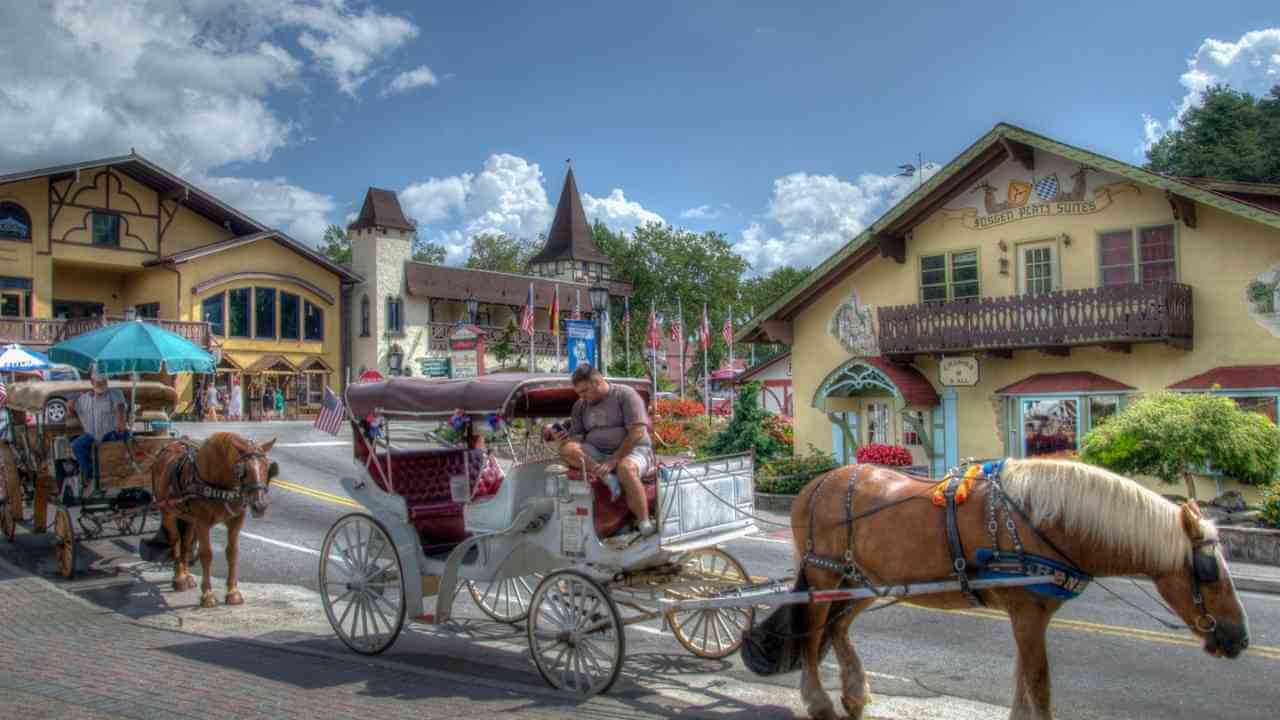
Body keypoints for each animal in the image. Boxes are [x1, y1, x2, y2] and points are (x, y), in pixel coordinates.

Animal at [149, 430, 280, 604]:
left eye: (267, 468)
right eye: (242, 470)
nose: (260, 505)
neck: (219, 483)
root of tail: (169, 446)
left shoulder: (235, 521)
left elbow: (232, 553)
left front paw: (233, 593)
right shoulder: (202, 522)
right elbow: (206, 554)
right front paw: (208, 595)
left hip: (188, 519)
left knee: (186, 543)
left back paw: (187, 576)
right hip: (167, 512)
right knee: (175, 540)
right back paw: (179, 578)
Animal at [762, 456, 1244, 717]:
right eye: (1208, 572)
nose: (1239, 637)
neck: (1041, 521)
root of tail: (817, 482)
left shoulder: (1027, 617)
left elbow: (1023, 682)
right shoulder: (1028, 612)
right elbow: (1039, 684)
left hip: (865, 580)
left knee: (838, 628)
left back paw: (855, 694)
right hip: (822, 576)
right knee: (810, 636)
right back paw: (819, 701)